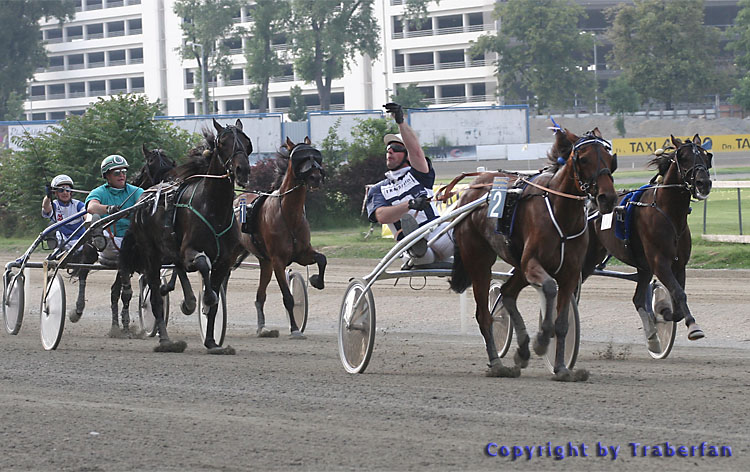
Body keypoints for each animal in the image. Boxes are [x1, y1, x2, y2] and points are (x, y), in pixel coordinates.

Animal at [69, 144, 178, 336]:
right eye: (151, 162)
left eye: (170, 161)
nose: (170, 183)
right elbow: (126, 292)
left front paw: (126, 324)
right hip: (92, 251)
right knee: (83, 273)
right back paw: (78, 309)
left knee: (115, 290)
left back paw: (117, 325)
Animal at [121, 120, 253, 352]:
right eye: (223, 142)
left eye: (246, 142)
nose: (242, 169)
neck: (214, 208)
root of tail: (144, 199)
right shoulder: (189, 251)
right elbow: (203, 265)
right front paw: (203, 299)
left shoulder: (224, 261)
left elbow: (214, 300)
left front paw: (211, 341)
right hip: (151, 254)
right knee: (155, 297)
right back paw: (165, 340)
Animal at [236, 138, 328, 338]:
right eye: (300, 157)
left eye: (315, 155)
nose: (316, 177)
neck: (288, 214)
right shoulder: (278, 261)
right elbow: (288, 297)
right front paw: (294, 329)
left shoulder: (302, 254)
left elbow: (322, 259)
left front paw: (316, 280)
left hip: (265, 263)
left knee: (260, 296)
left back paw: (262, 328)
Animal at [452, 128, 616, 380]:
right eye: (583, 159)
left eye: (610, 158)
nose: (608, 197)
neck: (561, 214)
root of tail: (471, 189)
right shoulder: (532, 263)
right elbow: (549, 288)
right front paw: (541, 339)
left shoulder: (570, 273)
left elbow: (562, 323)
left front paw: (561, 368)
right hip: (479, 261)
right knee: (484, 315)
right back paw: (497, 364)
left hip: (517, 266)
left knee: (507, 292)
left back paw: (522, 350)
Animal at [584, 135, 712, 348]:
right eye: (683, 157)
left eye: (706, 155)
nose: (704, 183)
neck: (668, 214)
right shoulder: (659, 263)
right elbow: (678, 293)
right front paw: (694, 327)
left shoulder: (678, 264)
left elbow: (676, 304)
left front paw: (663, 312)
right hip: (586, 258)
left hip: (642, 267)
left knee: (636, 299)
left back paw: (652, 336)